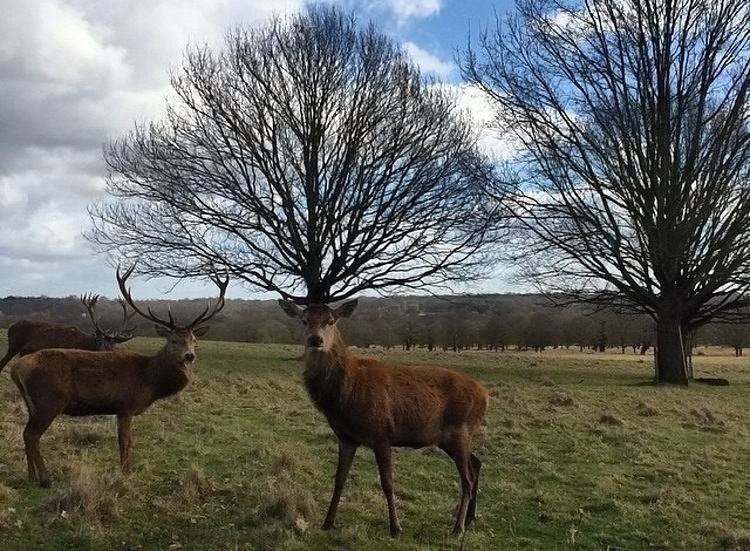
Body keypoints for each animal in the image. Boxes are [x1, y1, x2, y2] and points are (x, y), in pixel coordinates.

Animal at [280, 300, 490, 536]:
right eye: (304, 320)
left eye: (331, 321)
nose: (315, 340)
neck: (345, 395)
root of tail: (486, 395)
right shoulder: (346, 437)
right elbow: (339, 479)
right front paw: (328, 522)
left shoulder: (381, 433)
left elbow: (387, 482)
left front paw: (396, 527)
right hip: (451, 438)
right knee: (477, 463)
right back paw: (471, 518)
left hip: (460, 430)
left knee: (467, 478)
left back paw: (458, 528)